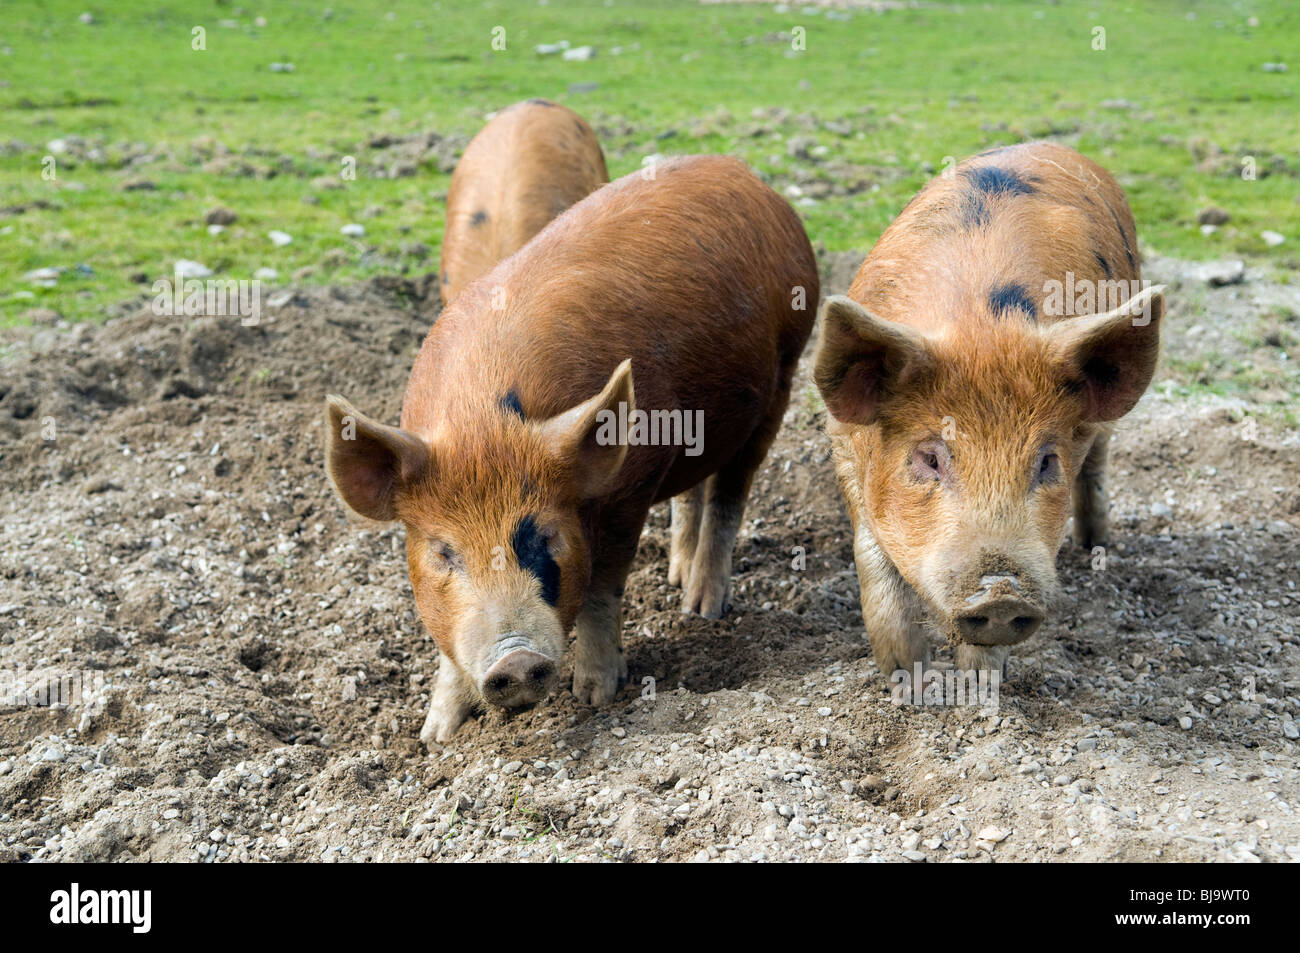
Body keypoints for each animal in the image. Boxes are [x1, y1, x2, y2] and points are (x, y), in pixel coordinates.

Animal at [811, 141, 1170, 681]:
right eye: (930, 458)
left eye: (1046, 462)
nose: (1001, 593)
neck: (980, 325)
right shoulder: (845, 445)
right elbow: (875, 562)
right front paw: (905, 679)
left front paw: (978, 687)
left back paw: (1094, 545)